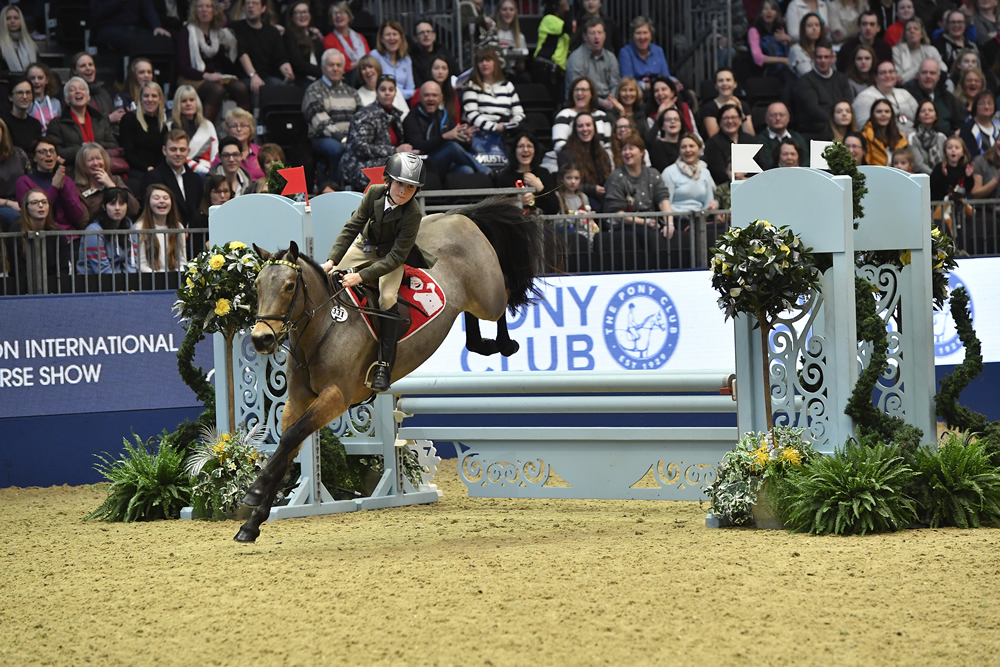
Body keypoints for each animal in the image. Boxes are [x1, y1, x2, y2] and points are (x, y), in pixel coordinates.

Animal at [235, 196, 544, 544]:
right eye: (257, 284)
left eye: (289, 286)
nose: (261, 339)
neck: (323, 326)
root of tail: (457, 215)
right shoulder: (297, 401)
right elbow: (287, 448)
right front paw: (252, 522)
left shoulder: (335, 397)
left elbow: (289, 439)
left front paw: (253, 493)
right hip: (468, 298)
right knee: (473, 321)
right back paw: (484, 345)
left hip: (487, 295)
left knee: (504, 297)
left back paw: (505, 344)